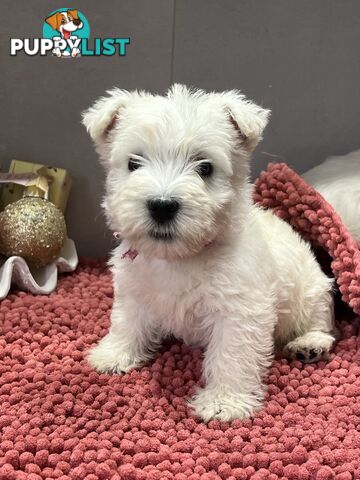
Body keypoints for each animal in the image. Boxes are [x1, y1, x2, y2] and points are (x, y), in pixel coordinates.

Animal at [81, 85, 334, 420]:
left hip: (310, 293)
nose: (162, 205)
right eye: (134, 163)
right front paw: (115, 354)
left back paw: (309, 344)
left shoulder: (240, 311)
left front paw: (224, 401)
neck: (181, 256)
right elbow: (127, 321)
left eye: (205, 167)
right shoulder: (135, 288)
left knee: (319, 321)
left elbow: (232, 355)